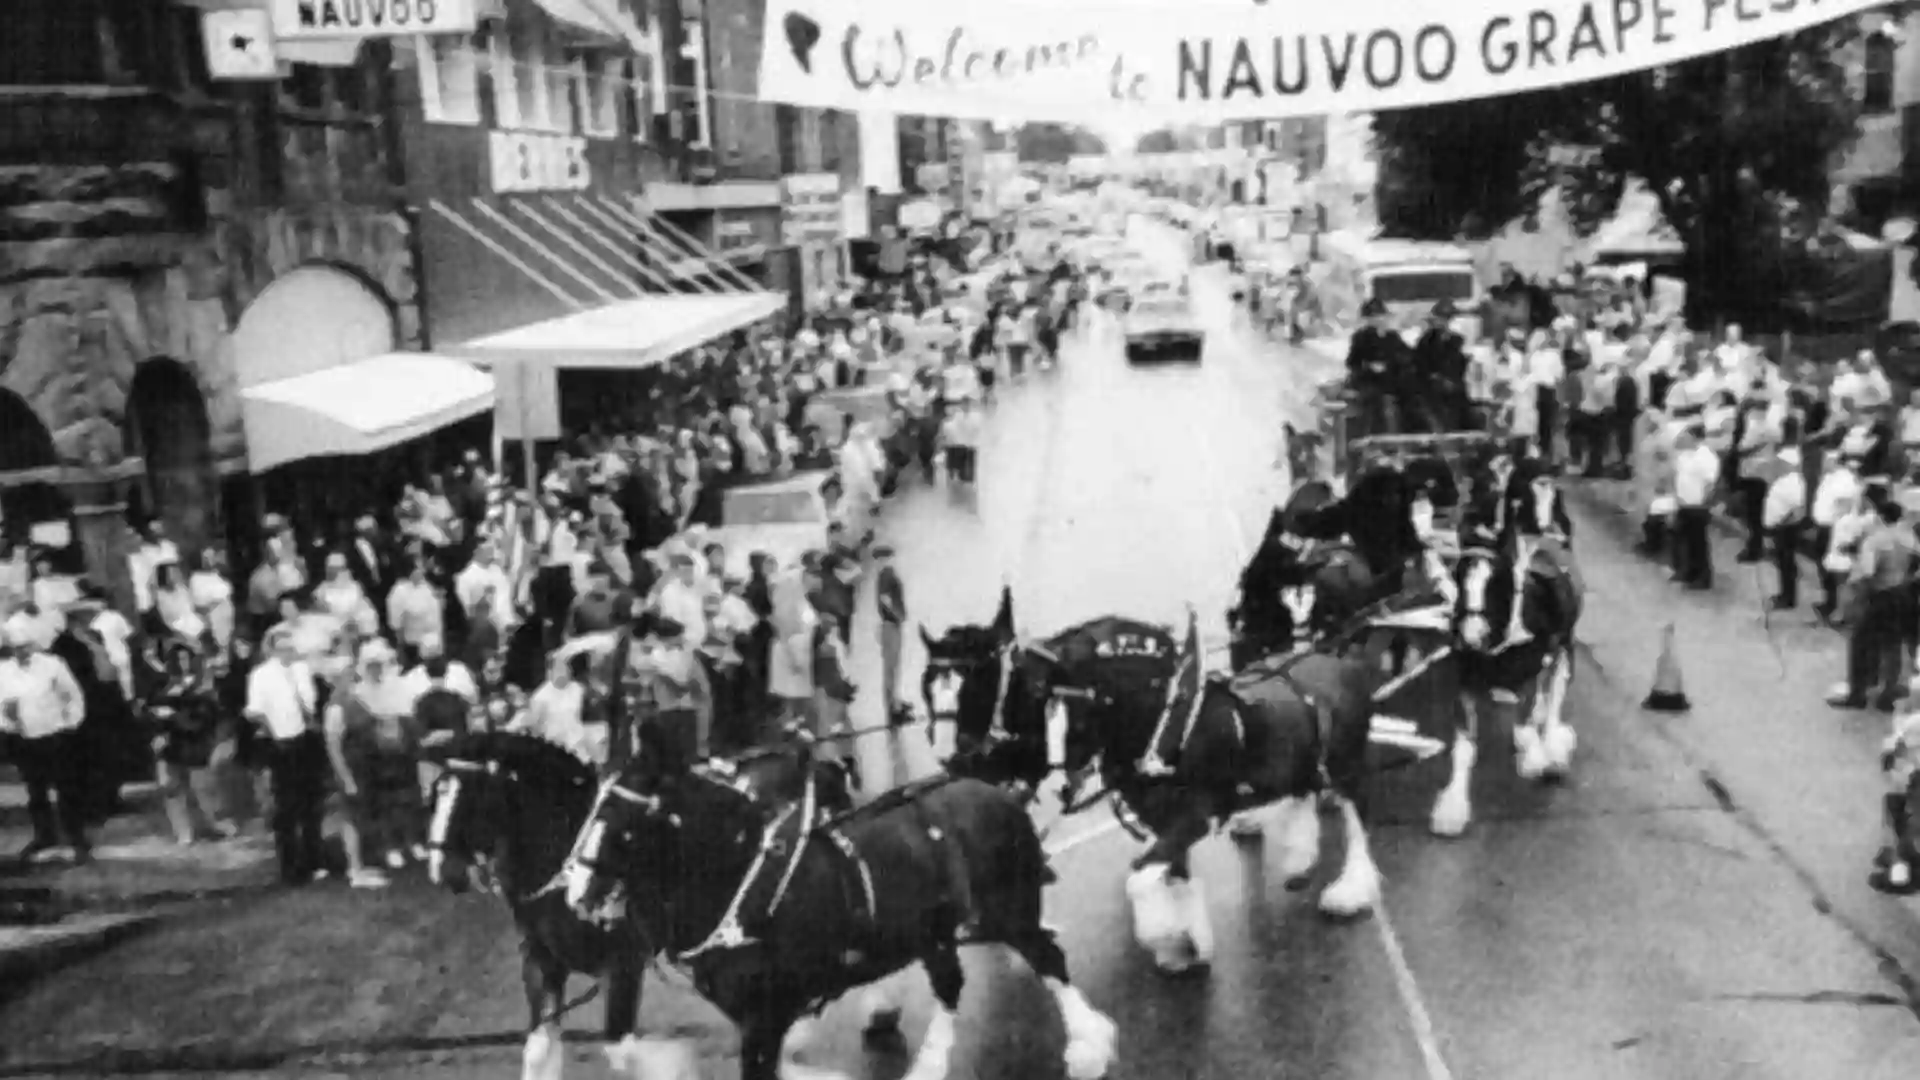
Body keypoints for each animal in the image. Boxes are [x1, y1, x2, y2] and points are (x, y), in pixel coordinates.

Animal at [560, 764, 1121, 1076]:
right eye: (590, 808)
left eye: (625, 823)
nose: (575, 891)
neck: (745, 891)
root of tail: (999, 793)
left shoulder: (763, 1020)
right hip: (940, 931)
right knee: (953, 984)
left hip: (1008, 910)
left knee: (1047, 958)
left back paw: (1090, 1046)